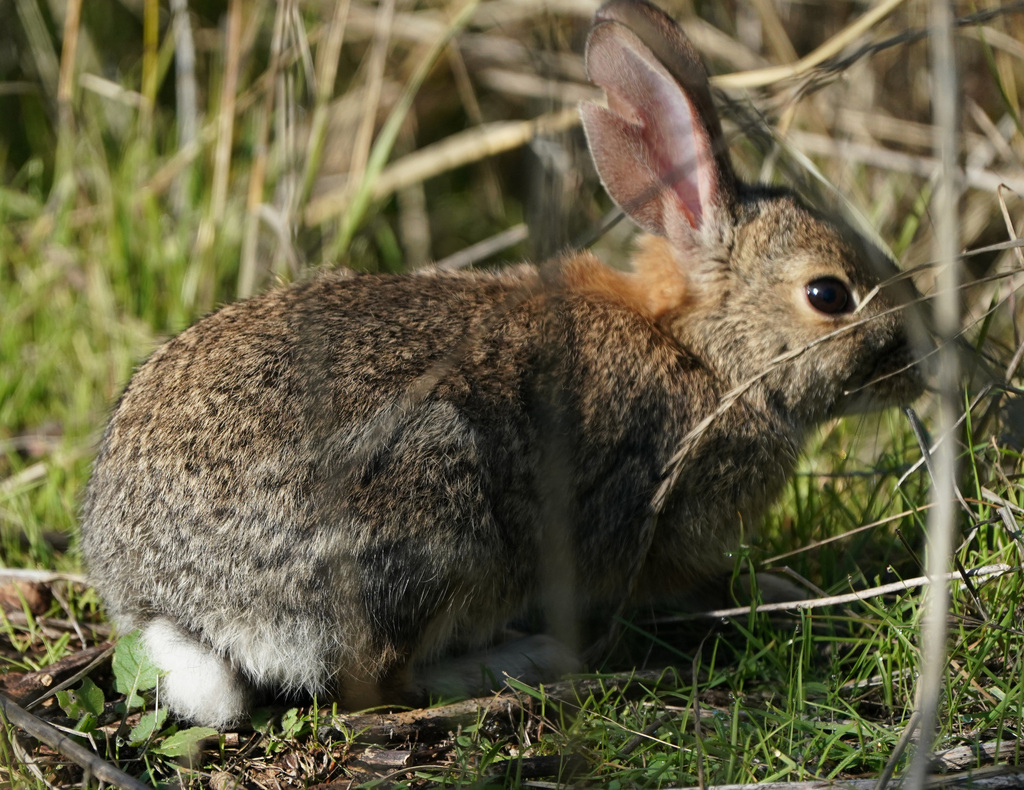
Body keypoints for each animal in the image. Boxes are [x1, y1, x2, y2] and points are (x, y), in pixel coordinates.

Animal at [79, 0, 925, 729]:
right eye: (828, 295)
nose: (920, 365)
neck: (704, 352)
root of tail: (175, 600)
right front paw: (777, 586)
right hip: (437, 519)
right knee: (378, 682)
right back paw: (527, 660)